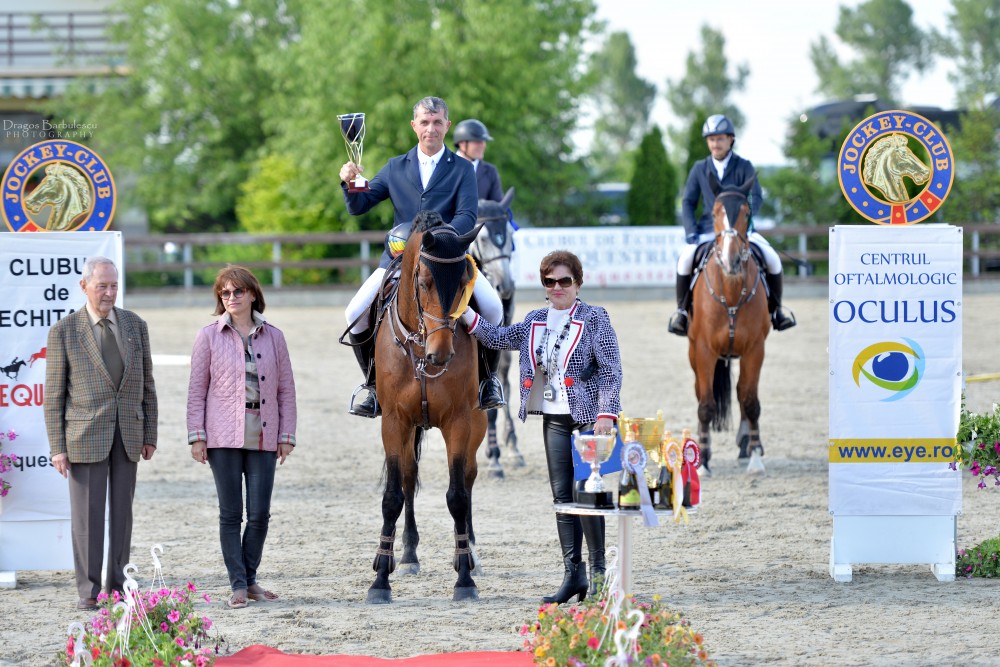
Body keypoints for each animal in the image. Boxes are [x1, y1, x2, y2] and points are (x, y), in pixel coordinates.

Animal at [367, 211, 488, 604]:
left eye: (466, 281)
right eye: (423, 282)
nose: (442, 354)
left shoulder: (459, 422)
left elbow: (457, 497)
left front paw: (464, 579)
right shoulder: (394, 422)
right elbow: (392, 496)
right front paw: (380, 580)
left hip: (478, 424)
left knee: (468, 478)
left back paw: (469, 551)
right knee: (407, 479)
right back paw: (405, 556)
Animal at [686, 173, 771, 474]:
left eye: (746, 212)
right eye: (714, 213)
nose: (732, 260)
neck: (732, 291)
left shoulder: (755, 350)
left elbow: (751, 402)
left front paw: (756, 457)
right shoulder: (704, 351)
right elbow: (706, 404)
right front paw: (702, 462)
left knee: (743, 393)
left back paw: (746, 445)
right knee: (701, 393)